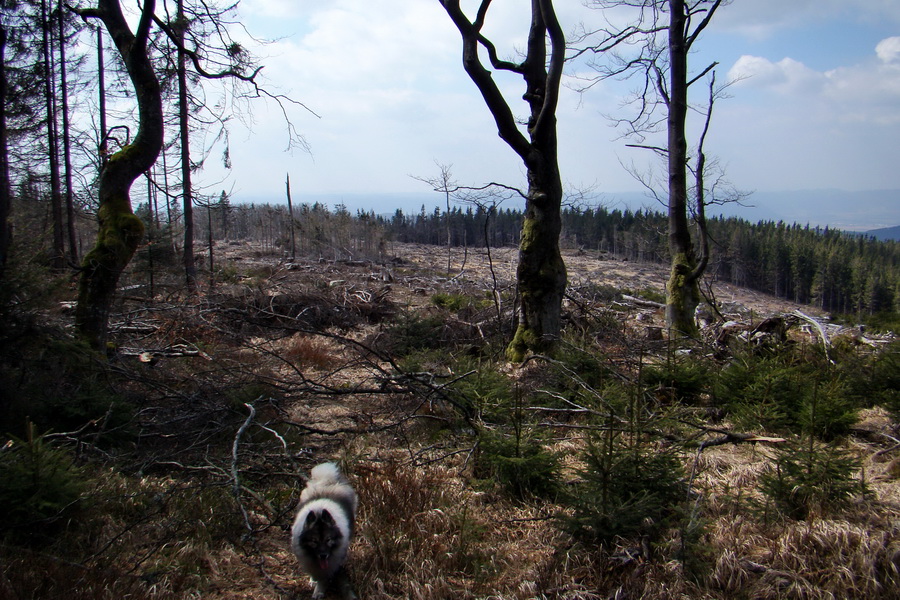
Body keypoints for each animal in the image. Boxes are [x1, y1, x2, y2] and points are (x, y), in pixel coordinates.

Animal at [290, 462, 356, 596]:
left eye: (328, 539)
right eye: (314, 541)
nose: (323, 555)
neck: (319, 512)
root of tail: (327, 481)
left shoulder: (330, 564)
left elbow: (324, 578)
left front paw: (319, 591)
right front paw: (314, 582)